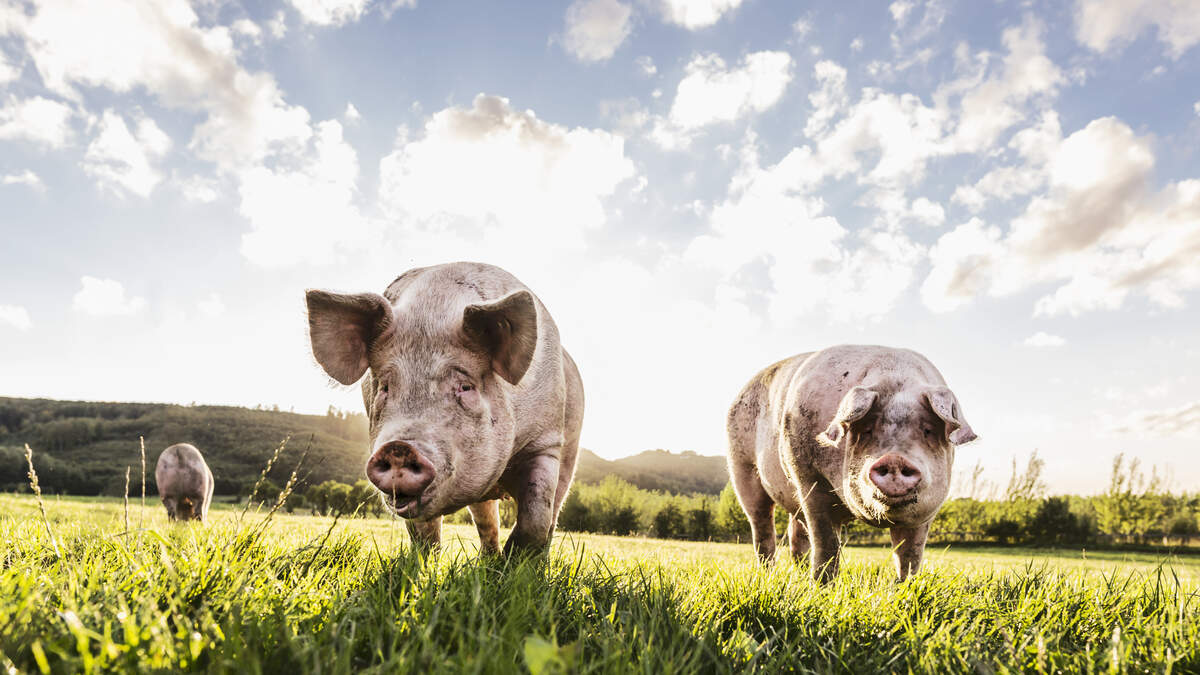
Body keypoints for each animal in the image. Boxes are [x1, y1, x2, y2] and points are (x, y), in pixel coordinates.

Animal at [305, 262, 584, 555]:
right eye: (385, 387)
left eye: (465, 386)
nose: (398, 448)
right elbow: (424, 533)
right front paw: (423, 563)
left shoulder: (546, 441)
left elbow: (536, 517)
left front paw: (517, 564)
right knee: (486, 519)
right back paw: (489, 560)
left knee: (552, 513)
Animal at [727, 345, 977, 582]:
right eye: (867, 430)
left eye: (927, 430)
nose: (894, 458)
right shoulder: (808, 476)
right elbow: (826, 543)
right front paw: (822, 586)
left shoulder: (927, 512)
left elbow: (910, 554)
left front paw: (905, 586)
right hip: (742, 467)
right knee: (762, 529)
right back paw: (768, 574)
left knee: (795, 533)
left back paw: (800, 574)